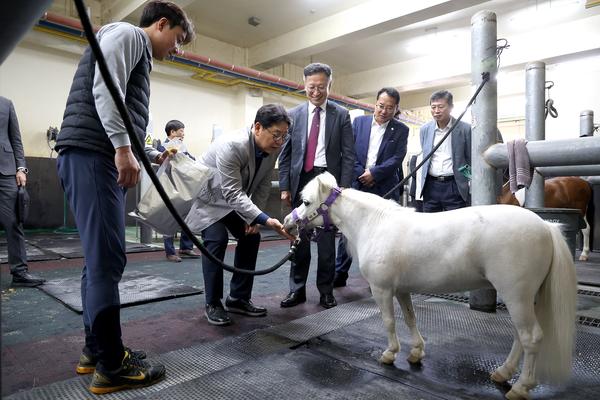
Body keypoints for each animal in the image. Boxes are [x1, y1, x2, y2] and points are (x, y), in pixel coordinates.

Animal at [284, 173, 580, 400]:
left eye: (306, 202)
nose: (288, 222)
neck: (376, 225)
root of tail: (545, 226)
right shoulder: (402, 289)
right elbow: (410, 318)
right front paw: (416, 352)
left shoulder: (382, 289)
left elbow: (389, 321)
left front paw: (389, 354)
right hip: (525, 299)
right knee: (521, 337)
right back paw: (503, 373)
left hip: (516, 296)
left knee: (531, 338)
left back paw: (520, 387)